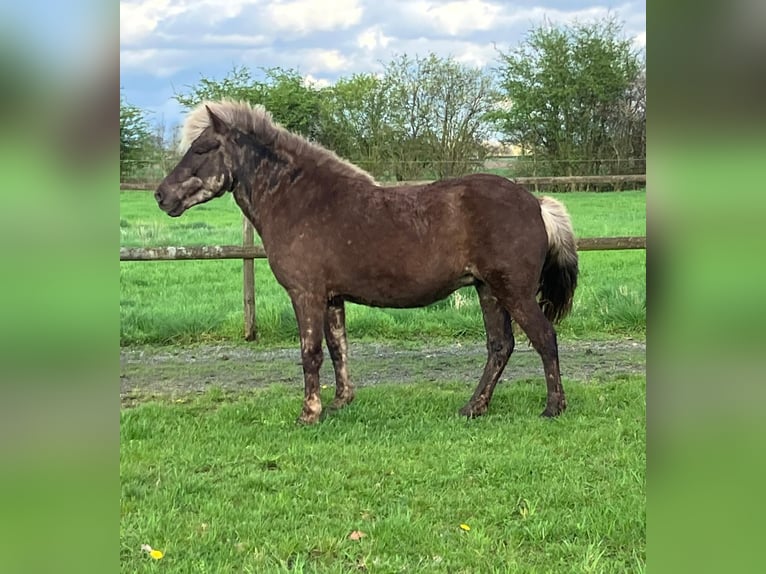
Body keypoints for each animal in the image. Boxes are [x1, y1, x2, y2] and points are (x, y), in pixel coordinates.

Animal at [153, 99, 580, 426]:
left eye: (203, 148)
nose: (161, 195)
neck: (300, 202)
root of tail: (536, 203)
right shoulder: (331, 298)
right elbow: (338, 348)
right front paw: (340, 402)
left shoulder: (306, 294)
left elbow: (310, 353)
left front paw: (309, 413)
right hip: (488, 290)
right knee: (500, 346)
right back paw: (473, 407)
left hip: (513, 291)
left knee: (544, 338)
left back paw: (553, 407)